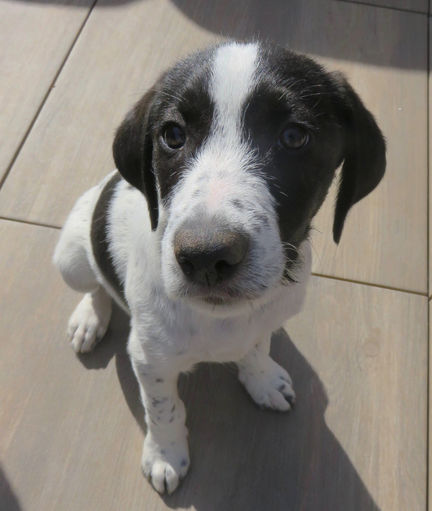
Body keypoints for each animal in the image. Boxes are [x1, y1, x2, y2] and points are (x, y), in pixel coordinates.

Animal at [53, 41, 386, 494]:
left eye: (294, 136)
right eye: (172, 135)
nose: (206, 257)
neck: (222, 320)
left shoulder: (267, 319)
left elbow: (257, 346)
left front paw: (262, 378)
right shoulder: (149, 358)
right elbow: (164, 408)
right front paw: (165, 454)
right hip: (71, 257)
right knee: (95, 285)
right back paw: (90, 319)